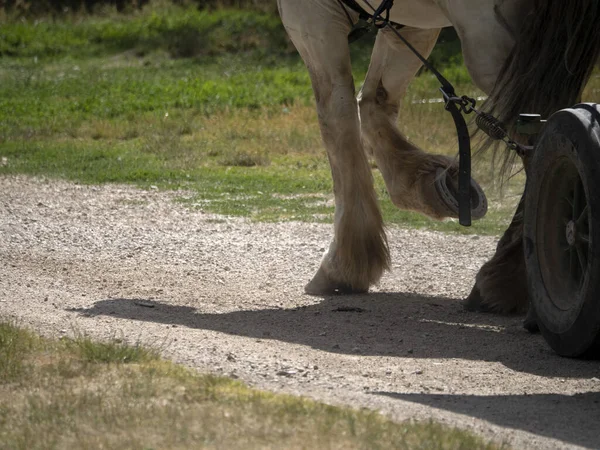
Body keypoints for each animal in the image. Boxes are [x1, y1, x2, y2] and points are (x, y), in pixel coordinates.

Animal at [278, 0, 600, 316]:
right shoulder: (406, 22)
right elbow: (373, 102)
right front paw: (426, 186)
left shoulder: (311, 16)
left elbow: (337, 125)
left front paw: (347, 264)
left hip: (492, 41)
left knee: (537, 131)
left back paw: (505, 278)